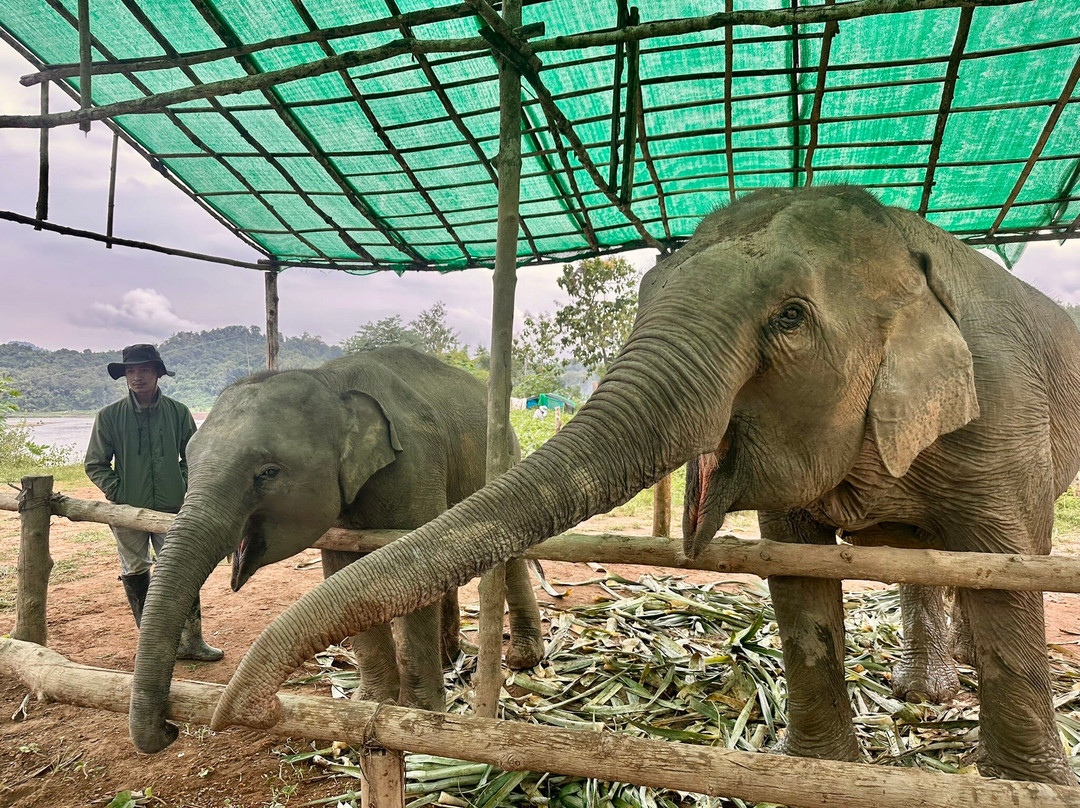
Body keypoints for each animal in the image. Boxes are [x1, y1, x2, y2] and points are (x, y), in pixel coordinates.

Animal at [128, 346, 545, 753]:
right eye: (188, 459)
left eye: (268, 472)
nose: (169, 730)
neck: (331, 379)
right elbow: (347, 570)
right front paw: (370, 703)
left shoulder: (417, 462)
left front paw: (418, 715)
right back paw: (449, 657)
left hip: (506, 456)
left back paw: (522, 658)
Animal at [207, 186, 1080, 785]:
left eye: (791, 317)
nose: (230, 714)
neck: (903, 241)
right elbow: (796, 572)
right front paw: (822, 769)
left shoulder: (1003, 401)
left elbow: (1009, 564)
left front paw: (1022, 785)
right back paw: (928, 688)